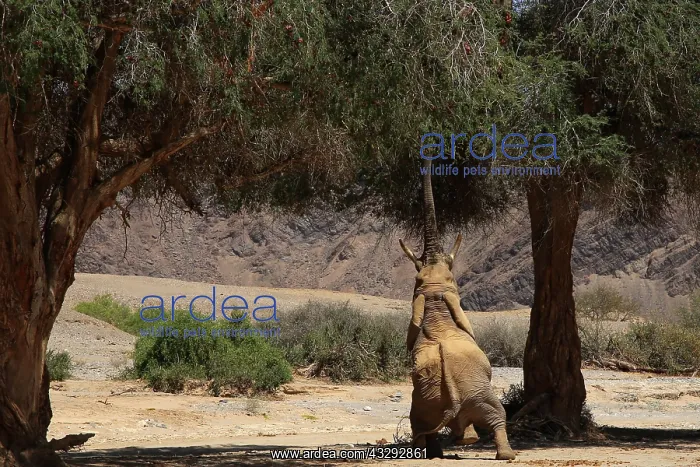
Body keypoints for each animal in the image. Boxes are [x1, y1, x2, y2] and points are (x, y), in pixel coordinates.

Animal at [398, 158, 516, 460]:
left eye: (416, 280)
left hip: (434, 398)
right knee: (497, 417)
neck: (435, 300)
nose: (428, 154)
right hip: (474, 394)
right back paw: (503, 453)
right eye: (453, 278)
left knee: (423, 427)